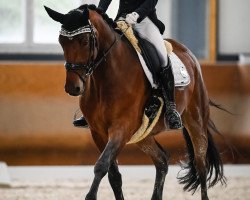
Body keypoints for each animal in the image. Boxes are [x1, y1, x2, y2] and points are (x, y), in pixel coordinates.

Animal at [45, 3, 227, 199]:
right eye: (62, 42)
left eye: (85, 42)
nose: (73, 88)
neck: (106, 77)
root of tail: (189, 55)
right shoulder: (98, 132)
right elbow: (113, 175)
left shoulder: (121, 128)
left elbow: (101, 166)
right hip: (142, 135)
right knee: (162, 160)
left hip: (196, 121)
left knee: (201, 166)